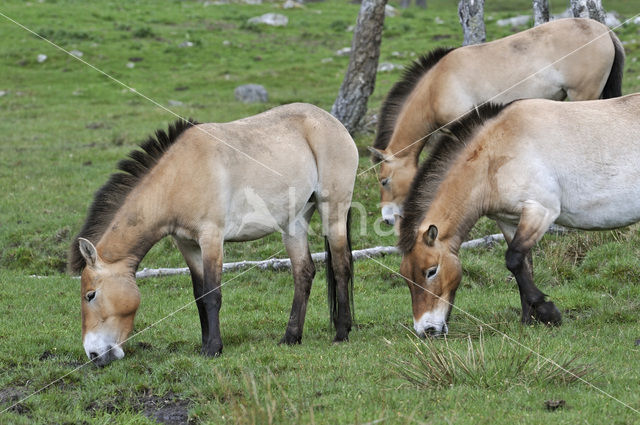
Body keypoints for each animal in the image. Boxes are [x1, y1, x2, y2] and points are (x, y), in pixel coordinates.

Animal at [71, 102, 360, 364]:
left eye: (90, 295)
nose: (93, 355)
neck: (178, 177)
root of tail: (334, 123)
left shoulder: (211, 238)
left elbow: (212, 294)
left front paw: (213, 348)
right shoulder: (187, 244)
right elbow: (199, 295)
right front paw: (204, 346)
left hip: (333, 212)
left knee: (341, 265)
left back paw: (342, 332)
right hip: (294, 223)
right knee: (303, 272)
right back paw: (291, 337)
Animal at [398, 94, 640, 336]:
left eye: (431, 271)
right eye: (406, 277)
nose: (426, 330)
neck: (496, 153)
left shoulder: (540, 211)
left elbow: (513, 259)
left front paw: (548, 312)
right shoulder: (509, 221)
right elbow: (524, 265)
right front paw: (528, 320)